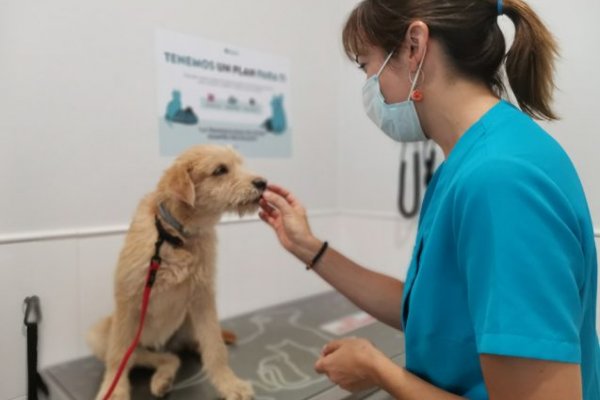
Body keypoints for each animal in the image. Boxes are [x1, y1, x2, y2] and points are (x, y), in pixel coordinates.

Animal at [86, 145, 264, 400]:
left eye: (241, 164)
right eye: (220, 170)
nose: (263, 183)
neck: (176, 236)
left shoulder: (202, 298)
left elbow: (215, 348)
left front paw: (229, 384)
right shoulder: (128, 299)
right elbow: (119, 355)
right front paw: (115, 390)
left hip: (187, 321)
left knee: (180, 353)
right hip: (101, 333)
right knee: (152, 357)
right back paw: (162, 378)